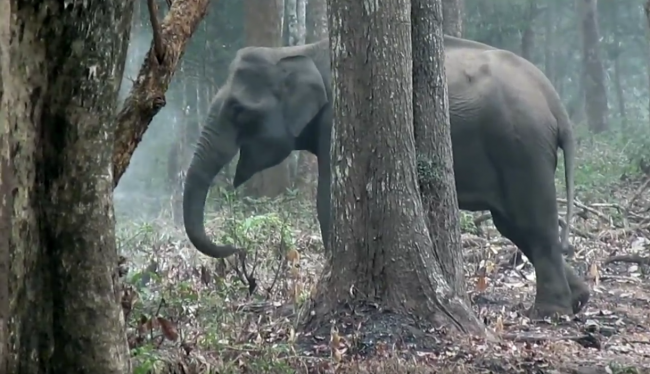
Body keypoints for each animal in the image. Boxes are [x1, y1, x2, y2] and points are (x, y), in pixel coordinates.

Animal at [181, 36, 588, 320]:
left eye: (238, 111)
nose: (236, 248)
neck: (299, 50)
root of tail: (556, 104)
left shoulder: (336, 121)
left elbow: (329, 200)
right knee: (515, 225)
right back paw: (579, 299)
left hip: (521, 147)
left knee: (532, 223)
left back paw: (551, 312)